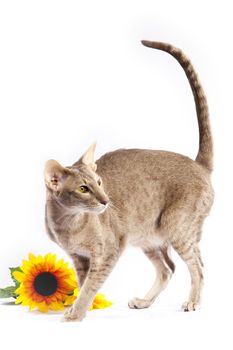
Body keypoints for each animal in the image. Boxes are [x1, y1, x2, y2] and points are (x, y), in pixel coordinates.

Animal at [43, 39, 213, 322]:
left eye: (99, 182)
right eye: (83, 188)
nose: (105, 201)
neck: (68, 224)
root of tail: (198, 164)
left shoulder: (107, 252)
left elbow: (89, 286)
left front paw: (76, 314)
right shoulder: (79, 258)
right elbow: (82, 283)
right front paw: (79, 308)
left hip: (178, 227)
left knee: (198, 266)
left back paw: (192, 302)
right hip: (148, 236)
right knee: (168, 268)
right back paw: (144, 302)